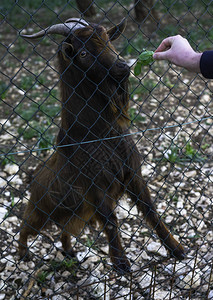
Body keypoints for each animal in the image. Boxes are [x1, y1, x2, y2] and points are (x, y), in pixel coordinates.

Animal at [18, 17, 185, 274]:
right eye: (84, 53)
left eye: (108, 40)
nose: (123, 67)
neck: (100, 134)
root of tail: (33, 178)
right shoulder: (97, 186)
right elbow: (111, 222)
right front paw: (122, 264)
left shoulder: (132, 174)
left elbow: (150, 211)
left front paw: (176, 249)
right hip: (41, 209)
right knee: (26, 226)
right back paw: (23, 253)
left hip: (79, 213)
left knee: (65, 230)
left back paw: (69, 251)